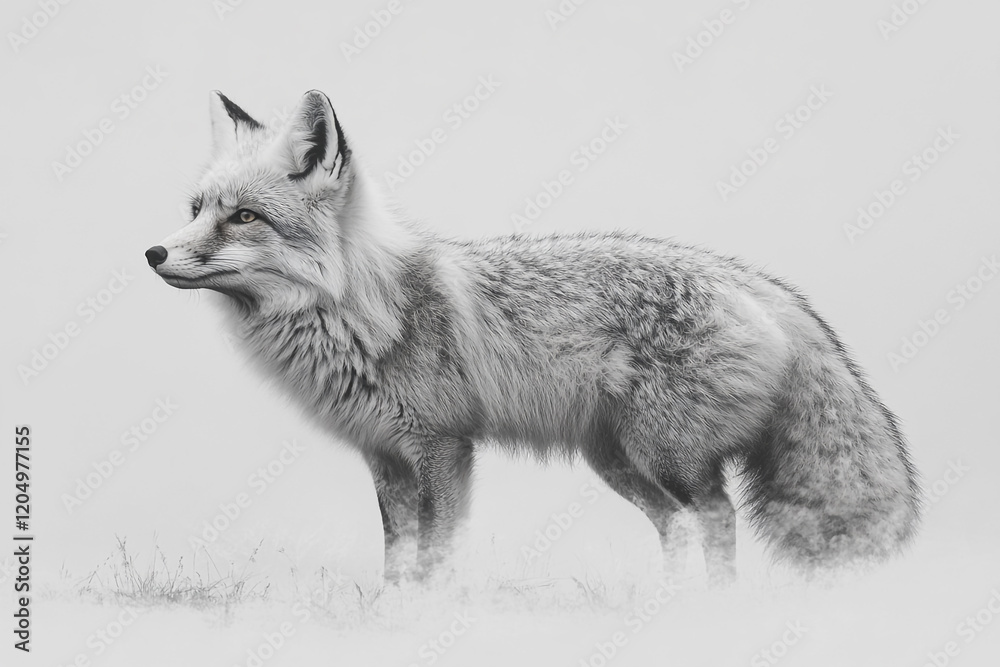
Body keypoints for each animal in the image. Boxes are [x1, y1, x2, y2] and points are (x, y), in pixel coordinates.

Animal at [146, 90, 921, 585]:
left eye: (244, 217)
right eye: (197, 209)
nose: (153, 253)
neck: (362, 311)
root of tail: (759, 281)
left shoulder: (444, 448)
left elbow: (436, 560)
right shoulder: (385, 458)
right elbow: (396, 563)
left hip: (664, 455)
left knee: (717, 517)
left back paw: (715, 612)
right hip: (617, 461)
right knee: (677, 526)